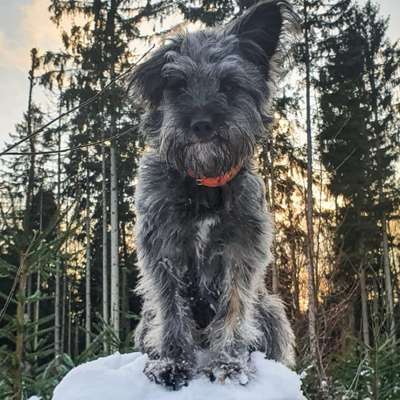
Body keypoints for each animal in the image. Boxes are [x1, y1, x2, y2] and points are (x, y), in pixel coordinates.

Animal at [130, 0, 296, 390]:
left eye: (230, 84)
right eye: (178, 85)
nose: (202, 124)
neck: (204, 182)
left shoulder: (242, 251)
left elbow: (234, 308)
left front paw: (230, 365)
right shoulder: (162, 249)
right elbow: (171, 309)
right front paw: (172, 362)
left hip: (272, 310)